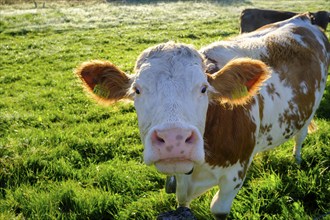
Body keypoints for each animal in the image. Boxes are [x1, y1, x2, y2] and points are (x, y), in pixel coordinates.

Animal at [76, 14, 328, 219]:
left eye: (203, 88)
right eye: (137, 90)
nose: (174, 140)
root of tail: (303, 18)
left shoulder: (233, 178)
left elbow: (218, 209)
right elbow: (183, 204)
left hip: (310, 110)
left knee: (300, 137)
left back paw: (296, 159)